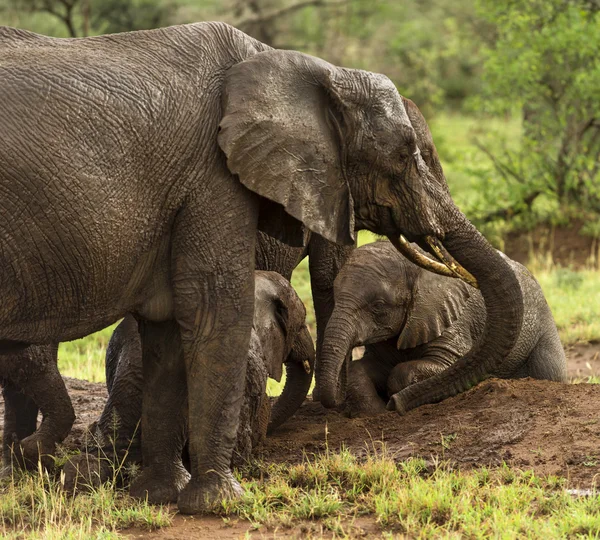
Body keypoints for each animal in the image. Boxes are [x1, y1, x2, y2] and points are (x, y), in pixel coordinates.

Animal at [318, 238, 568, 416]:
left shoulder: (450, 318)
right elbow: (363, 370)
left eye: (378, 306)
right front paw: (374, 413)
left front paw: (392, 399)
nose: (393, 406)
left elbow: (432, 365)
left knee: (549, 370)